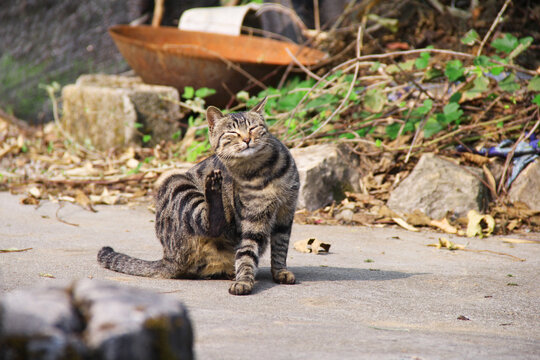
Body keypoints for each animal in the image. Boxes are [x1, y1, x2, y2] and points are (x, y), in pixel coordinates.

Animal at [97, 97, 300, 294]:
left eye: (253, 128)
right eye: (232, 133)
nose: (247, 138)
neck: (261, 171)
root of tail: (167, 257)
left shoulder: (286, 213)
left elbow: (280, 248)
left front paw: (280, 272)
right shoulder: (251, 218)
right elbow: (247, 253)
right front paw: (243, 281)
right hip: (177, 184)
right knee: (210, 223)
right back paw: (213, 187)